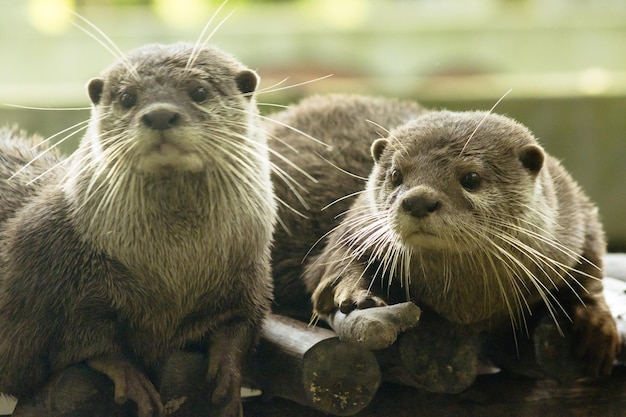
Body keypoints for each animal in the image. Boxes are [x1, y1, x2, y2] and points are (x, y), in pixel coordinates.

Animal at [0, 43, 272, 416]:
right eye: (128, 97)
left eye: (199, 92)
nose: (159, 115)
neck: (173, 268)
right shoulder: (52, 285)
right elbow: (85, 342)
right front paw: (131, 379)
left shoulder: (248, 270)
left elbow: (240, 323)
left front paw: (229, 376)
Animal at [270, 93, 620, 376]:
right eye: (395, 174)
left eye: (471, 178)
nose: (418, 200)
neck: (466, 305)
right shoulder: (357, 223)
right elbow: (330, 264)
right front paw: (355, 294)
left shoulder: (573, 212)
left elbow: (591, 261)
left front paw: (596, 323)